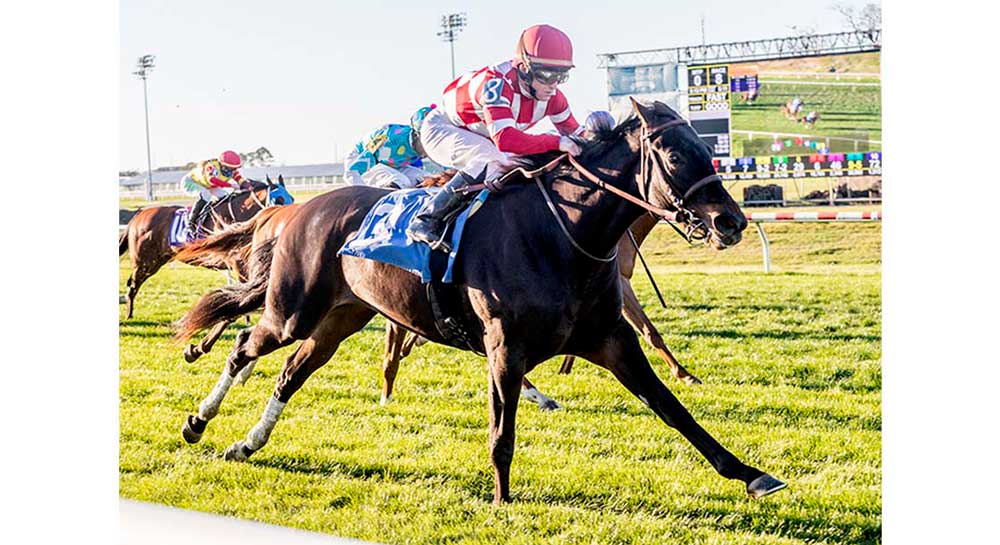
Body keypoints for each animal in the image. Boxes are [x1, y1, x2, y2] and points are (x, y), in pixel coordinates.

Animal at [117, 177, 292, 318]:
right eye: (278, 199)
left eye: (291, 198)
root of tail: (138, 215)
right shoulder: (237, 262)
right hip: (144, 262)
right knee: (132, 285)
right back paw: (129, 315)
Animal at [176, 100, 784, 504]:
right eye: (675, 155)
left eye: (707, 149)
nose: (731, 222)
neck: (561, 233)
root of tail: (296, 208)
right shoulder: (504, 348)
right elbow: (502, 433)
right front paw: (501, 500)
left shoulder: (611, 338)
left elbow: (673, 408)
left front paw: (749, 472)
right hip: (293, 310)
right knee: (243, 345)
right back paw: (198, 423)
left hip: (342, 318)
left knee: (291, 373)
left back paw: (246, 444)